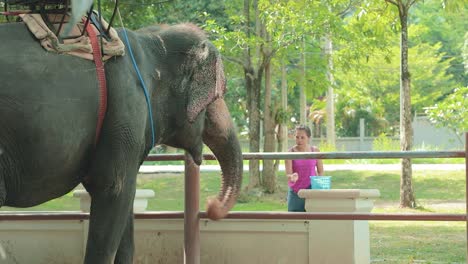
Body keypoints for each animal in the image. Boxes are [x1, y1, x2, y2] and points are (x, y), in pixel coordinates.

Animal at [0, 21, 241, 262]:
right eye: (218, 95)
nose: (210, 205)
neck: (149, 42)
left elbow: (126, 203)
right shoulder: (126, 109)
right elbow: (115, 190)